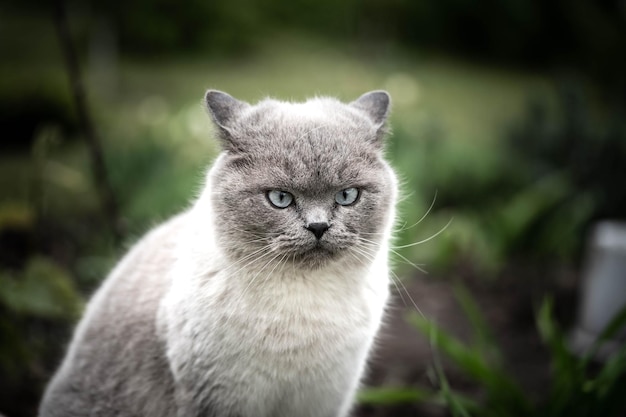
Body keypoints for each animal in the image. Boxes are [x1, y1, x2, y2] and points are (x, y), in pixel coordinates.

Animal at [39, 89, 398, 416]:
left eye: (347, 196)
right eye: (280, 198)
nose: (319, 227)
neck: (305, 300)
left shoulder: (323, 399)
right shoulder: (219, 399)